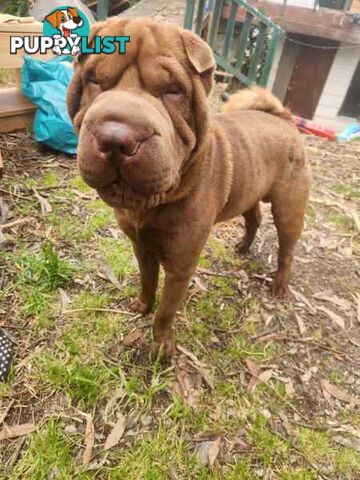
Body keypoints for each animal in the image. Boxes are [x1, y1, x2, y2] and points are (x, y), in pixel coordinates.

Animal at [67, 16, 312, 358]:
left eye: (174, 90)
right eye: (94, 80)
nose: (116, 138)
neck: (150, 206)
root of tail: (284, 119)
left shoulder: (181, 264)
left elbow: (167, 310)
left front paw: (161, 348)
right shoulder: (141, 247)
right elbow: (146, 281)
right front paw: (142, 306)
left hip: (289, 207)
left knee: (287, 247)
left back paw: (279, 285)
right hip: (249, 189)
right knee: (253, 218)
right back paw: (243, 246)